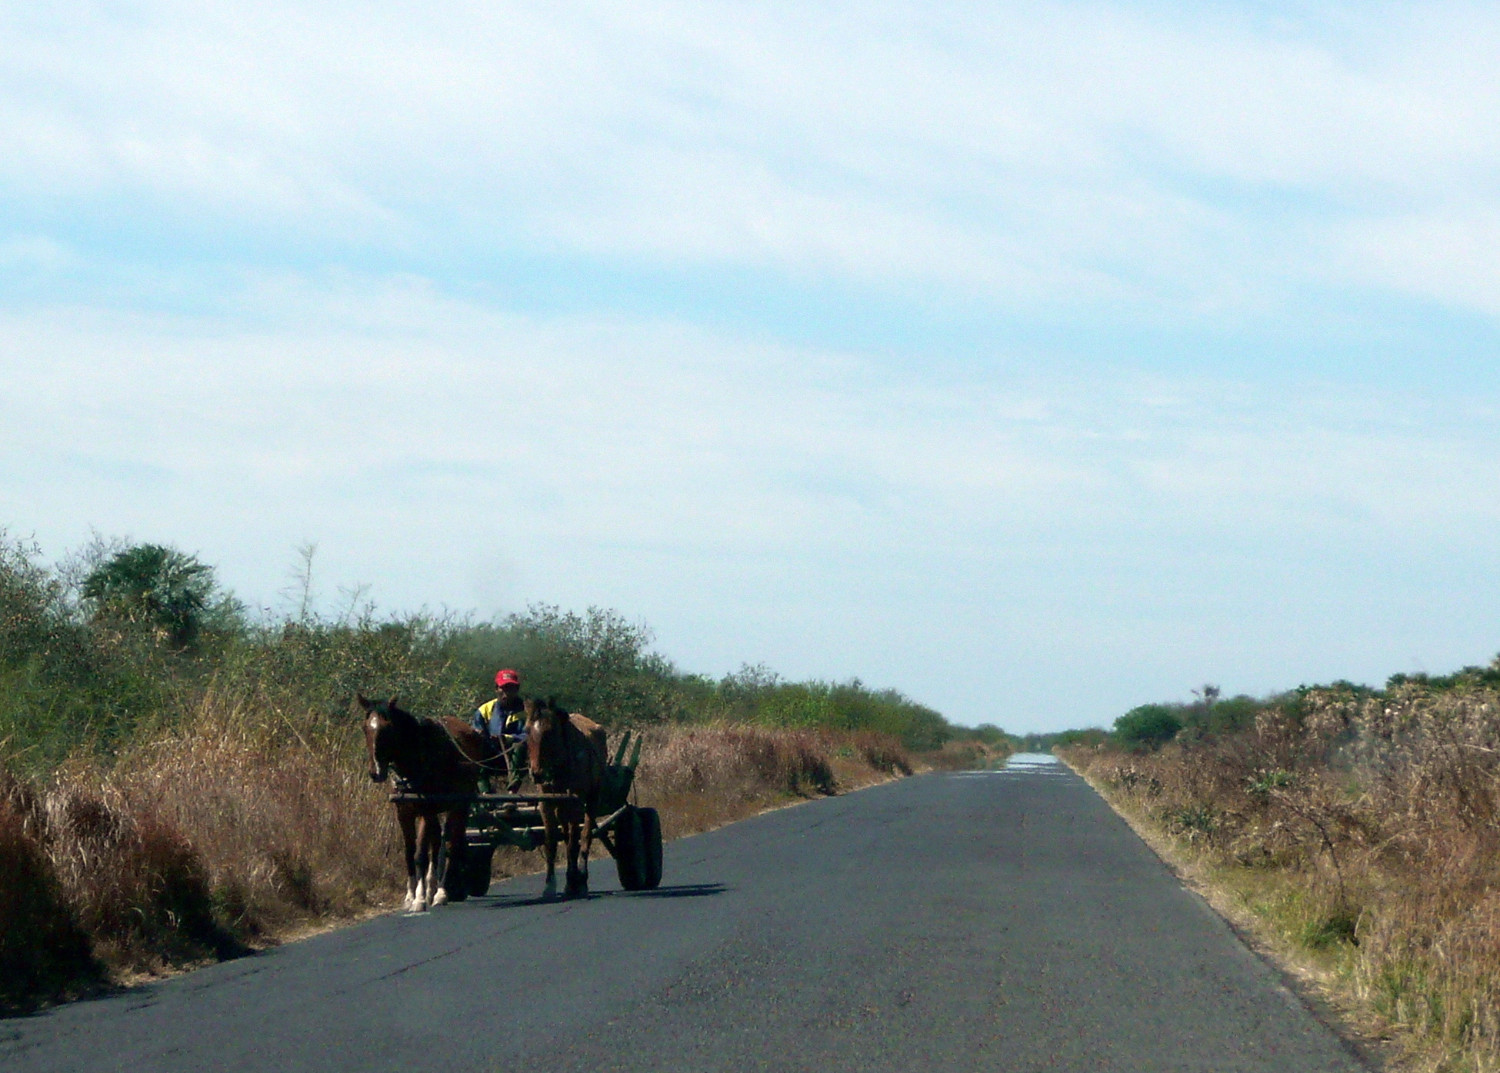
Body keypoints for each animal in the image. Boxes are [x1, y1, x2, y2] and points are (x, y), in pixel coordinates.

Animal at [358, 693, 486, 912]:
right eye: (366, 728)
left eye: (387, 729)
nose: (376, 772)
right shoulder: (403, 813)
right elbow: (410, 853)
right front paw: (411, 896)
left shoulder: (426, 810)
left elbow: (421, 854)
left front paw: (419, 899)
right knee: (437, 843)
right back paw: (432, 889)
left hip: (458, 805)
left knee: (450, 845)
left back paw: (441, 892)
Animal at [522, 696, 603, 900]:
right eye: (526, 730)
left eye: (550, 731)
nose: (537, 773)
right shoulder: (547, 804)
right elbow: (552, 841)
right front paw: (550, 885)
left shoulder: (575, 804)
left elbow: (575, 843)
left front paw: (574, 881)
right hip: (561, 808)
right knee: (566, 837)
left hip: (592, 800)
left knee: (585, 836)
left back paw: (580, 879)